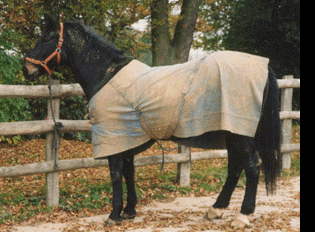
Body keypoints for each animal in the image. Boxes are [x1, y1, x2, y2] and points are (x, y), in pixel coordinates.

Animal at [23, 14, 282, 227]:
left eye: (46, 37)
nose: (26, 69)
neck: (107, 75)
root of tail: (264, 66)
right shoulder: (126, 138)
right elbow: (129, 172)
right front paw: (129, 211)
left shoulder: (114, 138)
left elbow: (116, 175)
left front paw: (114, 215)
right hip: (231, 133)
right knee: (235, 167)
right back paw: (216, 210)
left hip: (240, 133)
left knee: (252, 166)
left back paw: (242, 216)